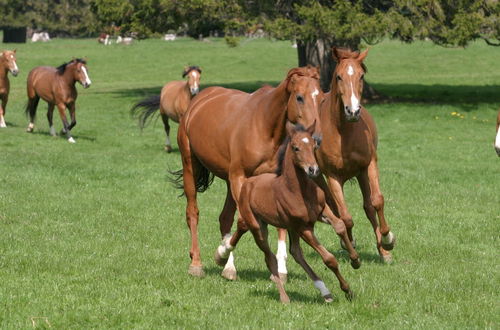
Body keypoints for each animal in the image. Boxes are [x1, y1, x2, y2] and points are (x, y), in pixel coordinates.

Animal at [213, 122, 358, 304]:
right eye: (296, 148)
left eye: (314, 145)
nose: (313, 170)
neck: (298, 191)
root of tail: (247, 184)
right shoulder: (304, 227)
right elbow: (329, 259)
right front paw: (347, 289)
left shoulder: (321, 211)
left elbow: (339, 225)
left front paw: (355, 260)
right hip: (259, 227)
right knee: (270, 258)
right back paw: (284, 297)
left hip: (289, 227)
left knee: (296, 253)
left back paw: (325, 291)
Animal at [308, 47, 394, 262]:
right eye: (338, 76)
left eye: (361, 76)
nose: (353, 111)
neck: (343, 132)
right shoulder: (332, 176)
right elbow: (346, 216)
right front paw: (349, 243)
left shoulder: (369, 164)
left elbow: (377, 201)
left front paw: (388, 240)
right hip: (319, 178)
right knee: (337, 209)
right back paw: (348, 242)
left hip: (361, 174)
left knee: (368, 207)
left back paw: (383, 250)